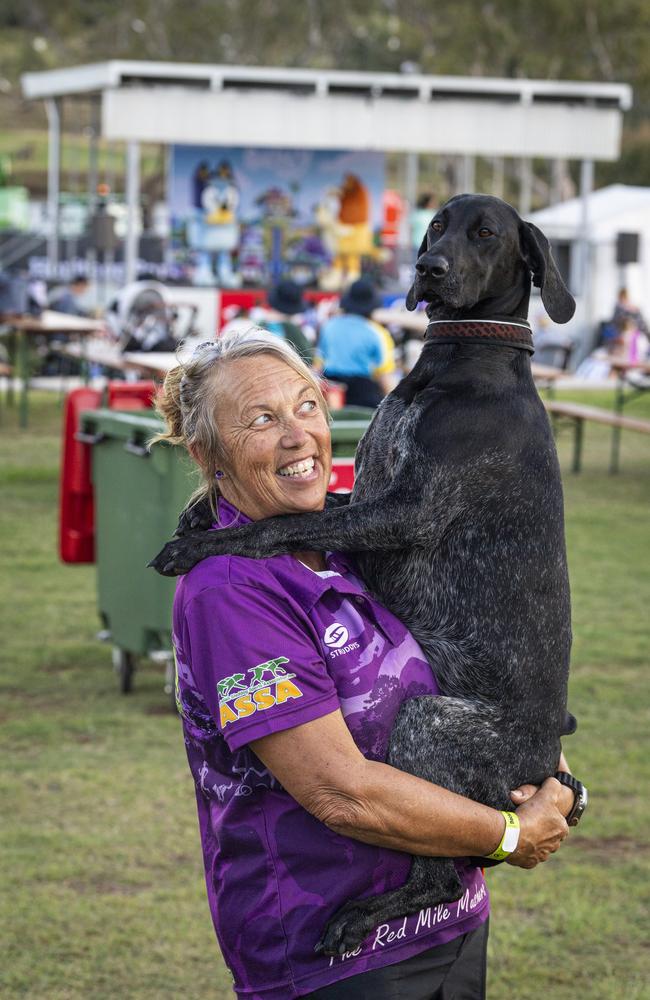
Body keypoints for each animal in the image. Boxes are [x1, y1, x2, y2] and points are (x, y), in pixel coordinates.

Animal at [154, 193, 576, 952]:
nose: (428, 267)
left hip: (429, 724)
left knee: (441, 878)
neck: (462, 358)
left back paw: (362, 915)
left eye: (486, 233)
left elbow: (280, 524)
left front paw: (198, 546)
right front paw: (198, 512)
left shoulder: (406, 512)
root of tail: (543, 756)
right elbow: (317, 502)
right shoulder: (371, 498)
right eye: (435, 225)